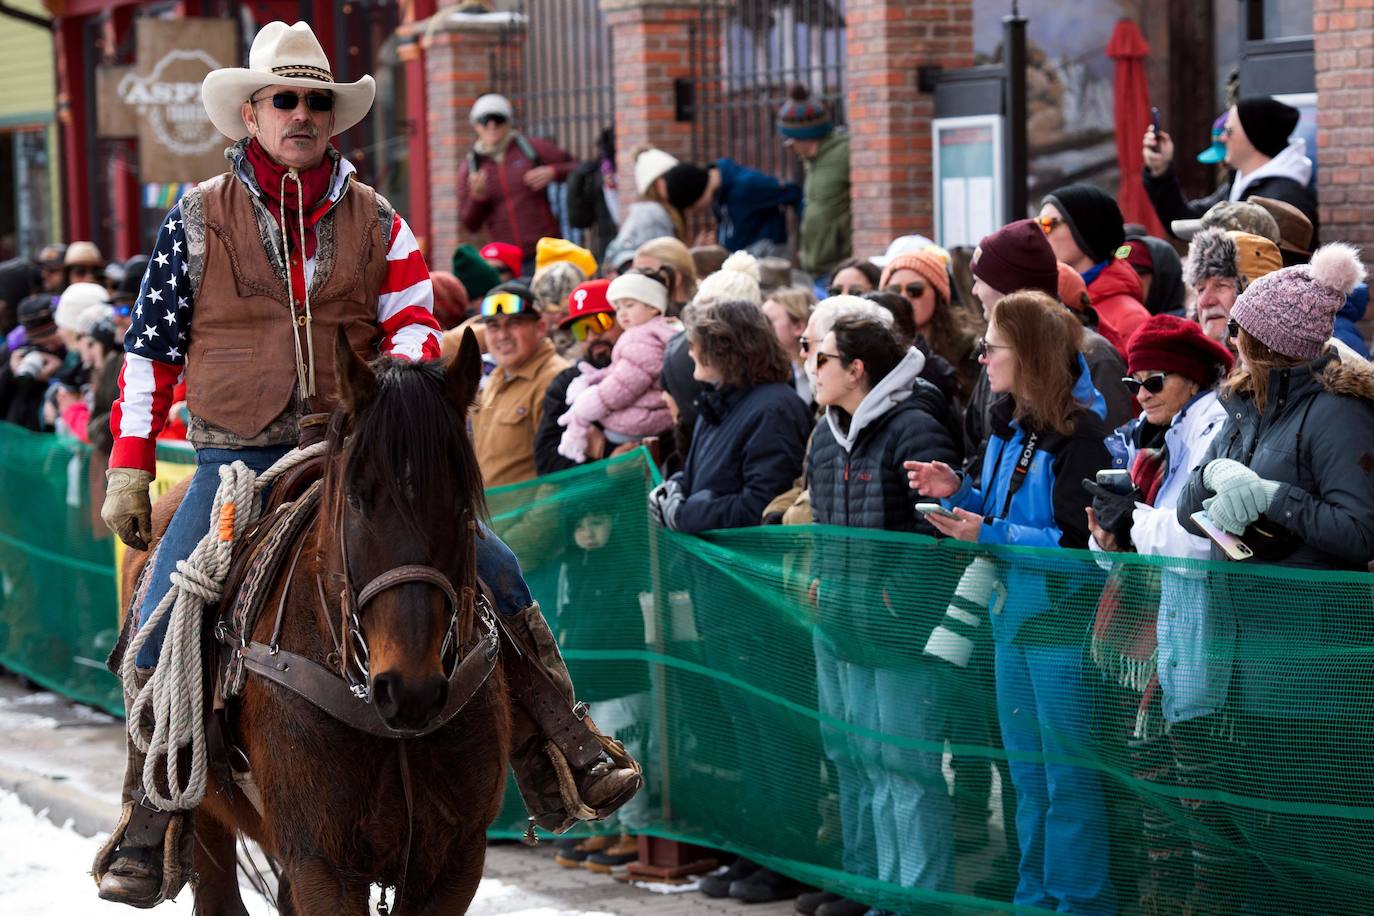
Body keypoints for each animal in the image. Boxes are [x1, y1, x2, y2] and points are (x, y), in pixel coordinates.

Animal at [127, 330, 511, 916]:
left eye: (462, 505)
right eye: (356, 499)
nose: (411, 689)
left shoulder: (455, 863)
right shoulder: (322, 864)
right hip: (208, 812)